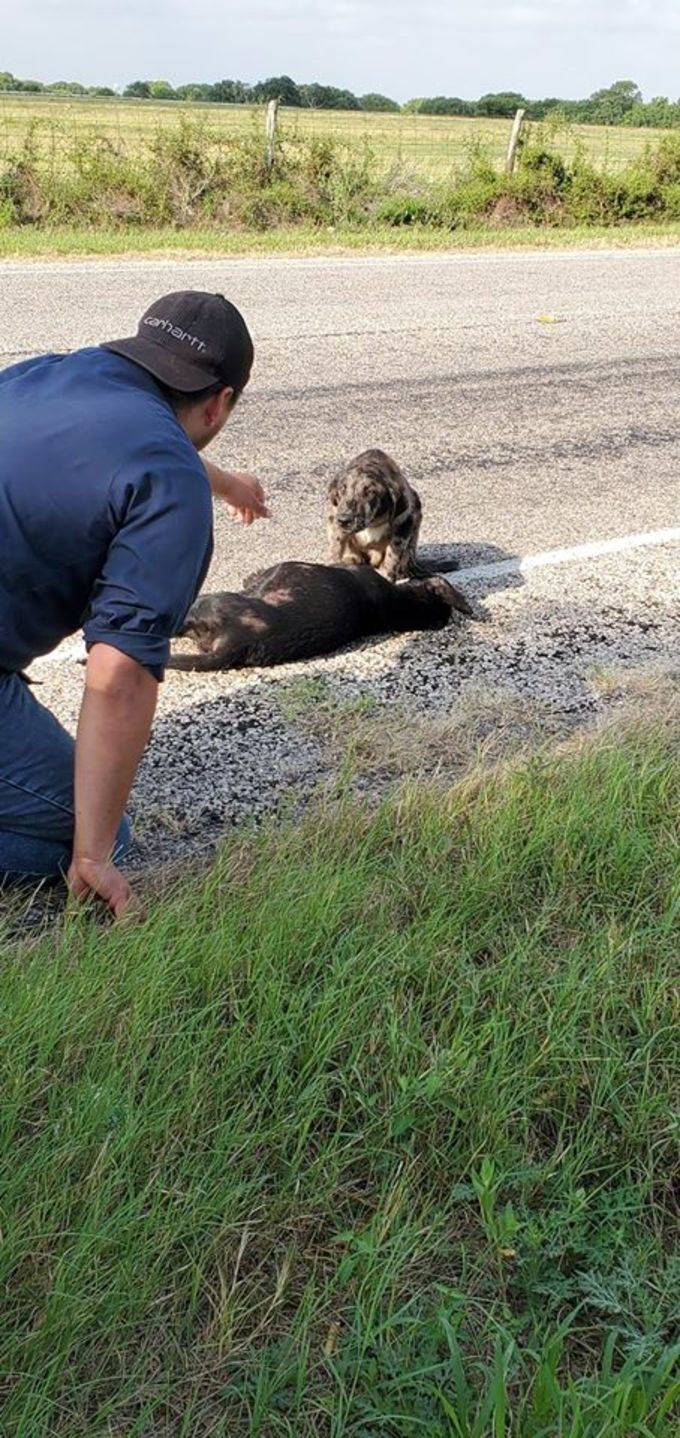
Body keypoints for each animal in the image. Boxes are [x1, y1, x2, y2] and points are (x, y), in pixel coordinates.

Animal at [326, 451, 457, 580]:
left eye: (370, 492)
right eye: (342, 490)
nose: (344, 520)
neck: (373, 522)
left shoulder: (405, 521)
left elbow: (392, 555)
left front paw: (386, 575)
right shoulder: (334, 518)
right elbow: (336, 546)